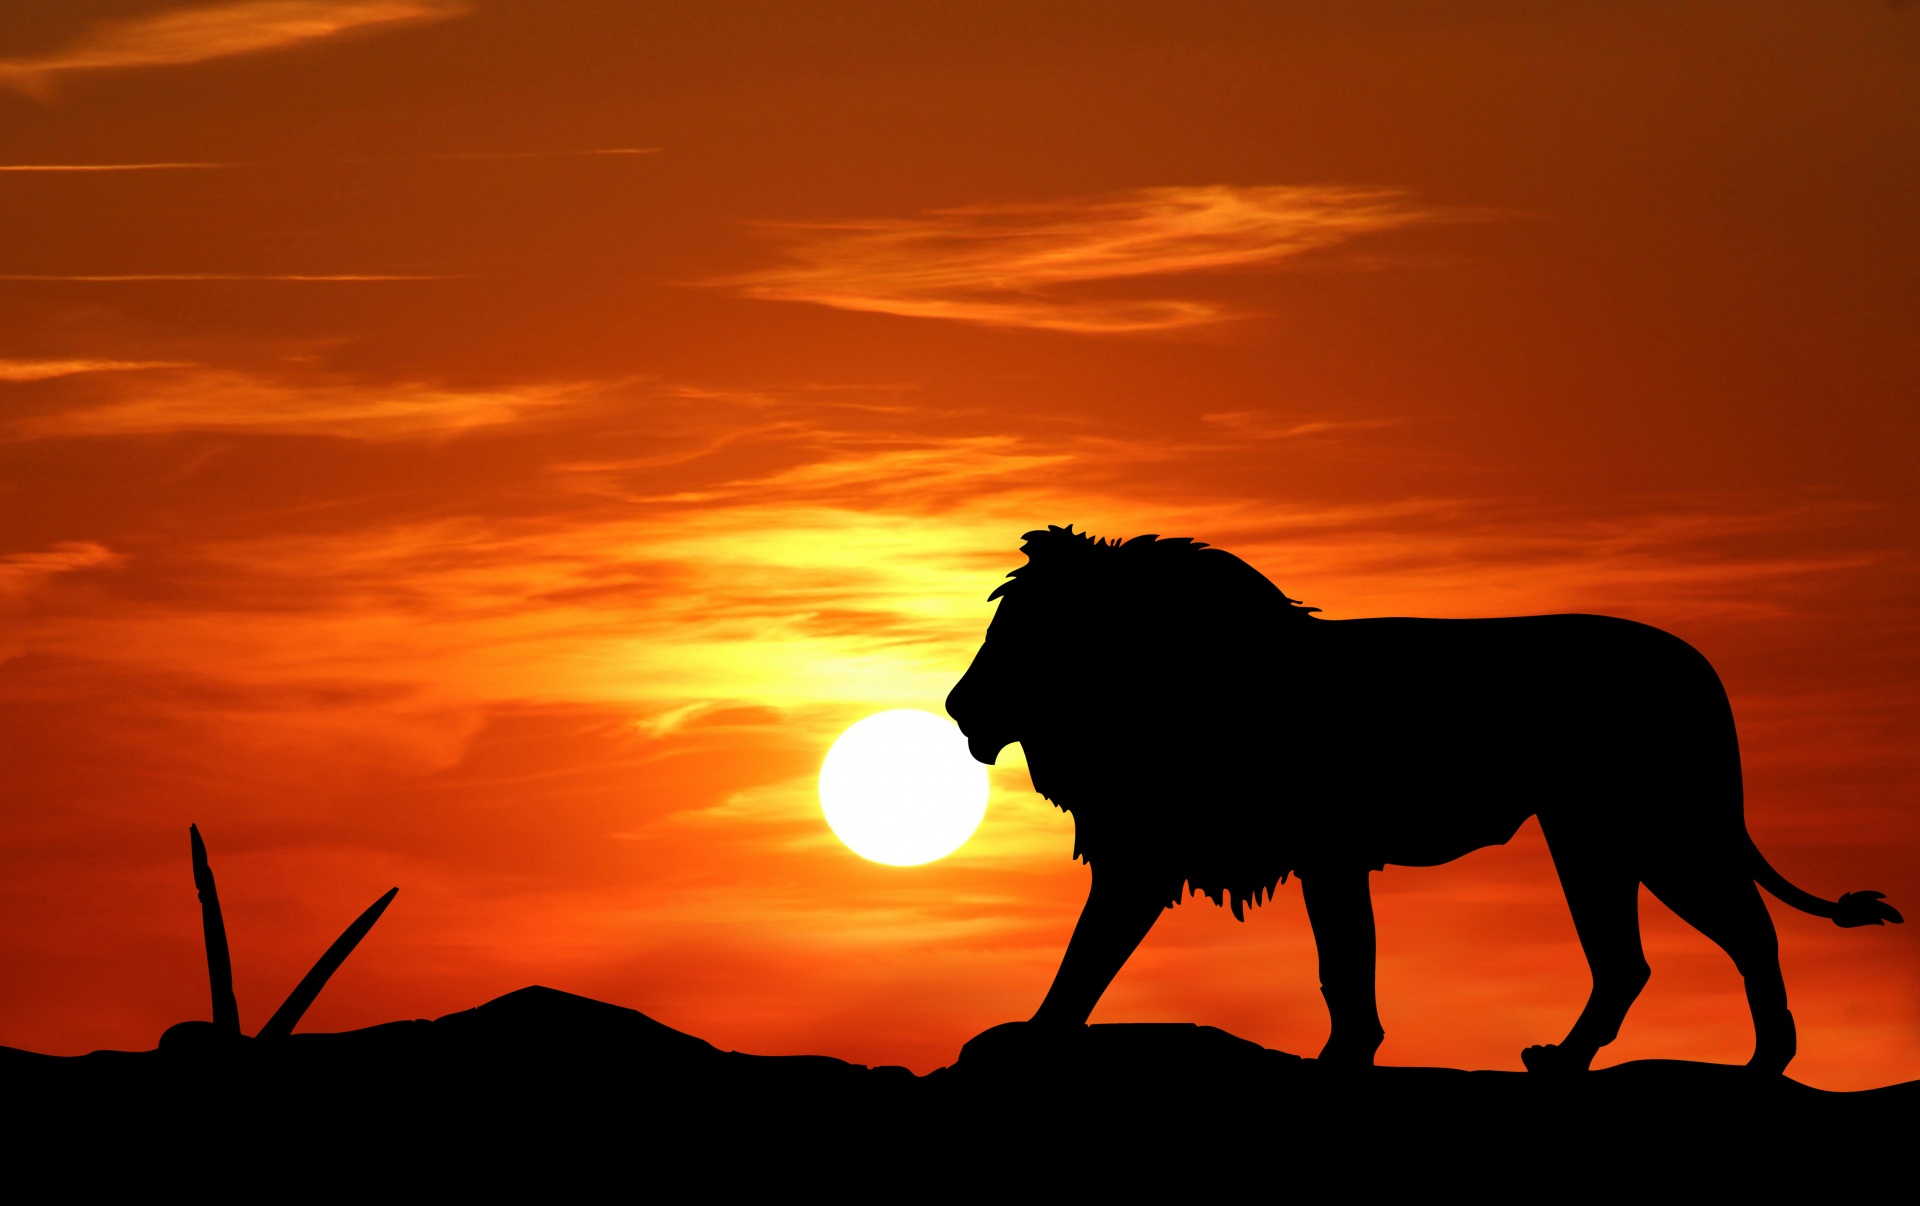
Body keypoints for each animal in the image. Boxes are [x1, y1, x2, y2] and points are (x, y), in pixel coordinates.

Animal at [945, 526, 1902, 1073]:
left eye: (1023, 634)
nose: (957, 708)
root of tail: (1698, 666)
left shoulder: (1290, 850)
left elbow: (1327, 964)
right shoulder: (1222, 854)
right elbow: (1099, 954)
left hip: (1656, 829)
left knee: (1744, 931)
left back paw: (1764, 1063)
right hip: (1593, 836)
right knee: (1629, 959)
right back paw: (1566, 1061)